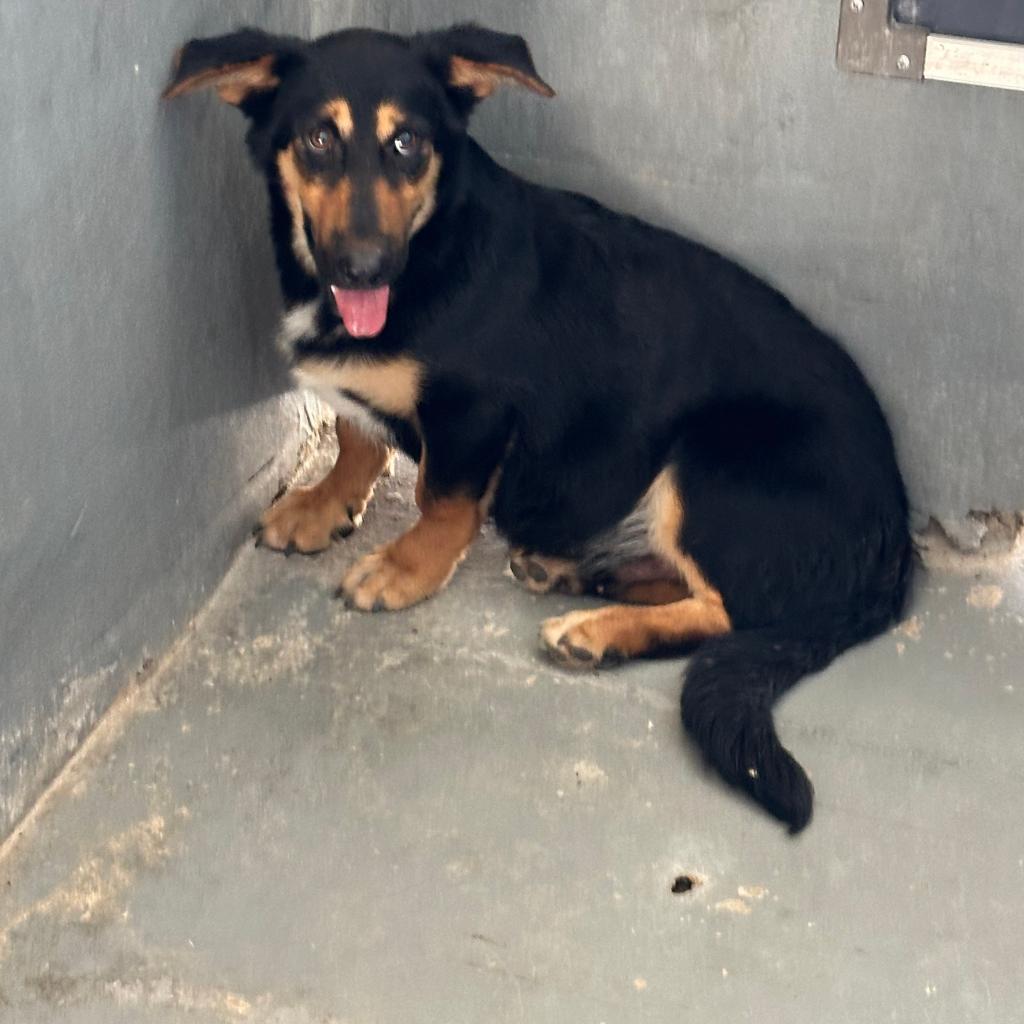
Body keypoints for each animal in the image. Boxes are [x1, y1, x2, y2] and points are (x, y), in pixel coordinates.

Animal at [165, 24, 913, 831]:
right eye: (316, 140)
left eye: (407, 143)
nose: (363, 269)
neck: (434, 243)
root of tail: (897, 544)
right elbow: (354, 433)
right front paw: (325, 502)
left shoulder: (473, 410)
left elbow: (442, 501)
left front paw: (404, 569)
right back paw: (579, 572)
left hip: (709, 460)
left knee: (732, 610)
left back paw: (597, 631)